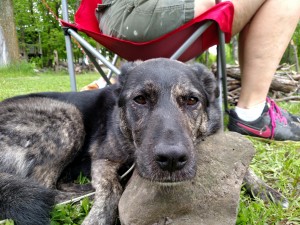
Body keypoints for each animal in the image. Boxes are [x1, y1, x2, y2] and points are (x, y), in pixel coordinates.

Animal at [0, 58, 286, 225]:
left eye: (191, 100)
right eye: (140, 99)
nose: (172, 160)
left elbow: (245, 168)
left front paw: (266, 190)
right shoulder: (103, 157)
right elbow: (111, 189)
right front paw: (99, 215)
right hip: (67, 115)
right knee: (44, 185)